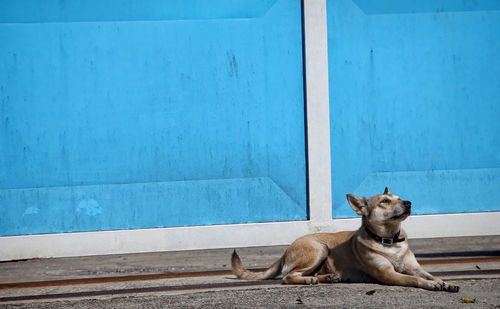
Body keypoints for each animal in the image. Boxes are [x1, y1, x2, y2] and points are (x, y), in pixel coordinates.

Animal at [230, 188, 458, 292]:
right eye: (384, 201)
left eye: (400, 198)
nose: (409, 203)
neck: (390, 241)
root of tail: (286, 250)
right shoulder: (388, 274)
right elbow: (415, 280)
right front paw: (431, 285)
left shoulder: (415, 268)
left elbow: (429, 274)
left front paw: (445, 282)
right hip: (319, 248)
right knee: (288, 276)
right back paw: (308, 280)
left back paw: (326, 277)